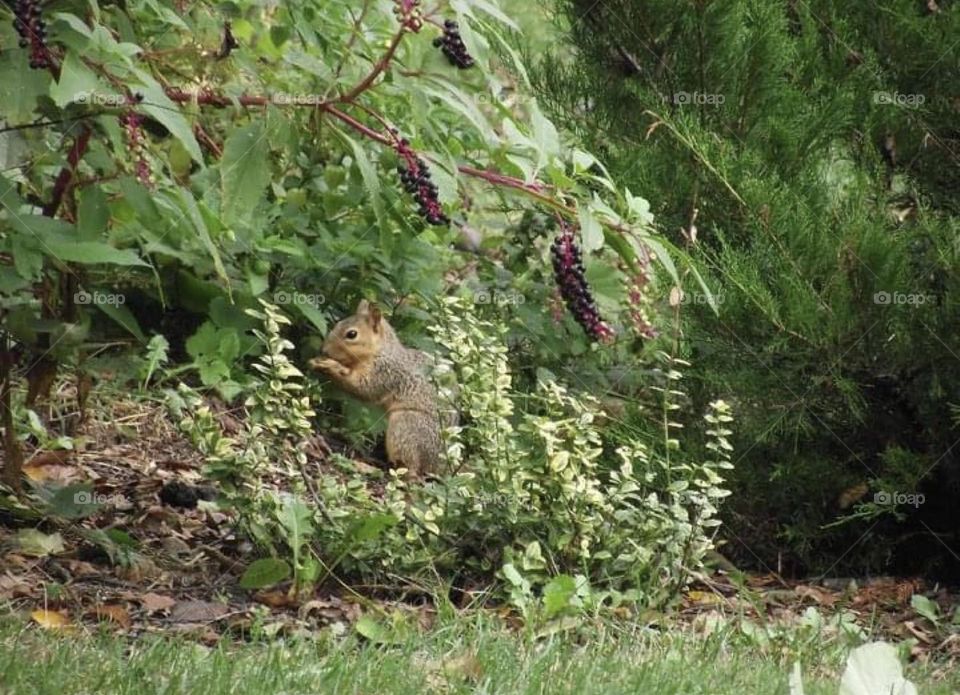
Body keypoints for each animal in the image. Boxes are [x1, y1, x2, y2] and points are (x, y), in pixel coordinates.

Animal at [309, 299, 446, 479]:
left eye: (352, 334)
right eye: (338, 323)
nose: (323, 350)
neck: (381, 350)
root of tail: (435, 466)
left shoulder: (385, 372)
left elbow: (364, 387)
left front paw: (331, 366)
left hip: (405, 426)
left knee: (410, 470)